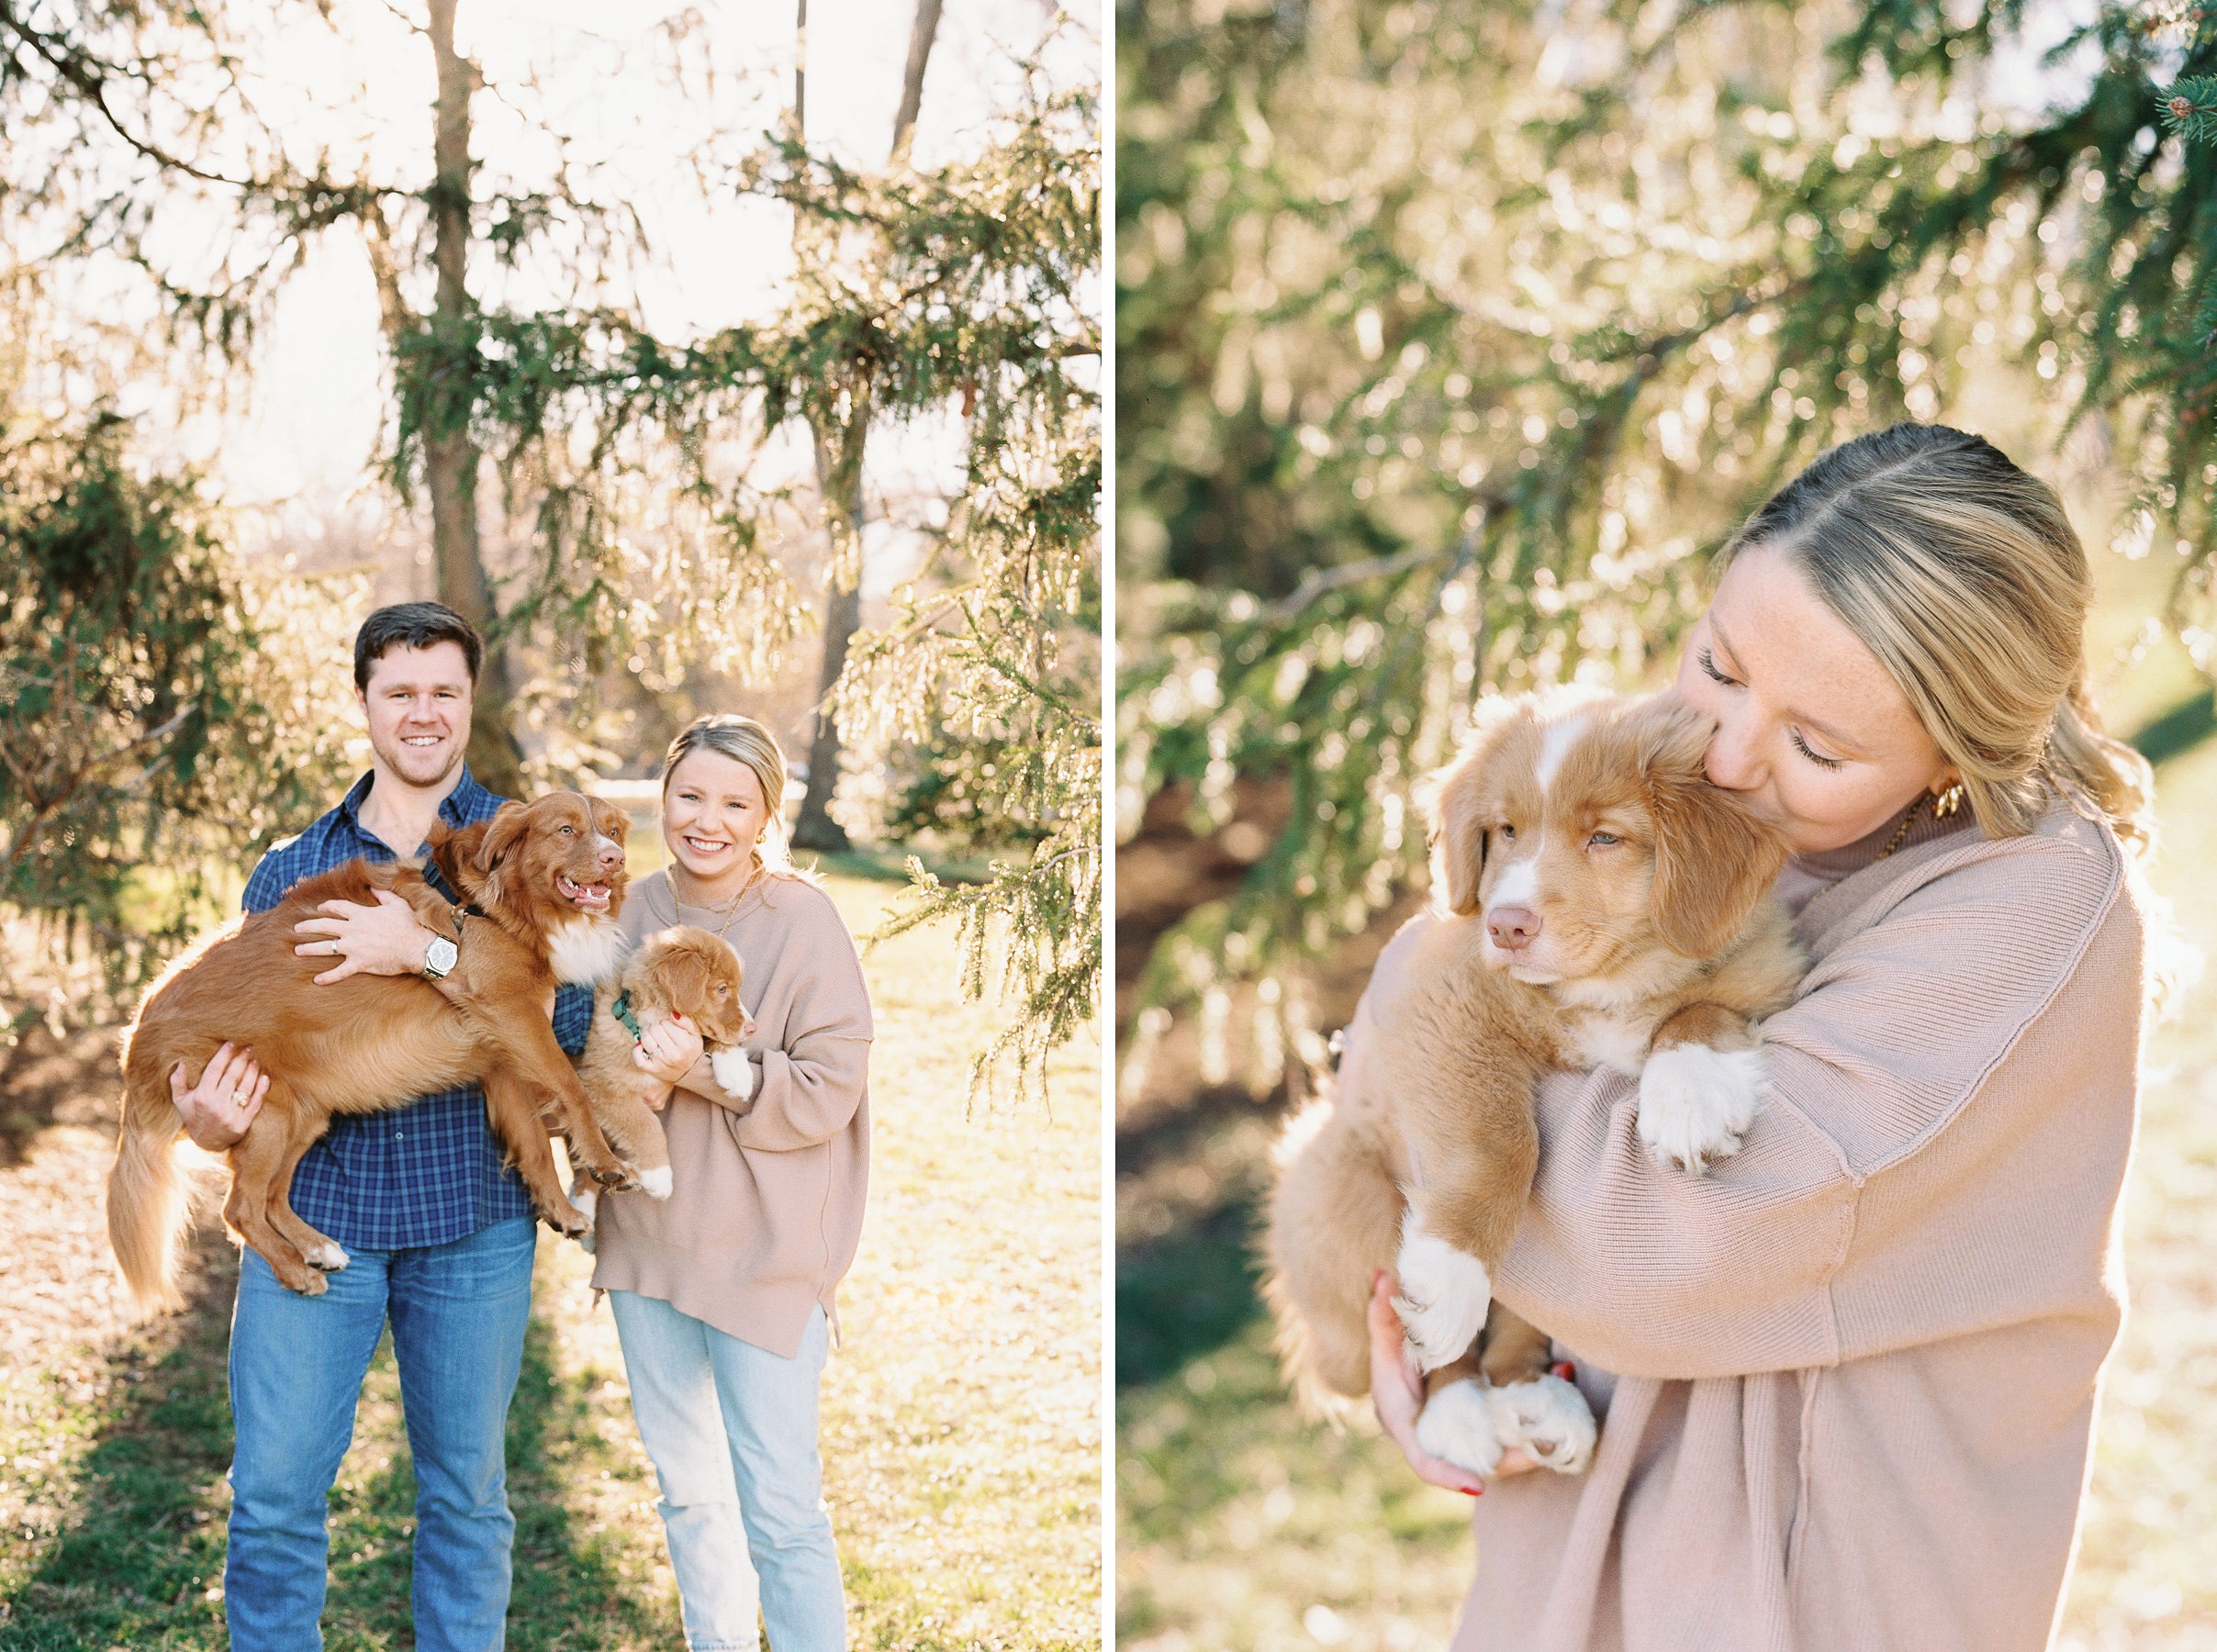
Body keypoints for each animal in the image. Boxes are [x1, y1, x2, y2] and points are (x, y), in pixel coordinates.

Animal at [110, 789, 633, 1312]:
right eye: (565, 830)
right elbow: (571, 1087)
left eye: (613, 831)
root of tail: (136, 1037)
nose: (616, 859)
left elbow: (535, 1145)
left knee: (271, 1199)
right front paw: (605, 1163)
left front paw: (560, 1209)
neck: (493, 904)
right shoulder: (513, 1012)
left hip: (303, 1114)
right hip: (267, 1112)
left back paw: (316, 1247)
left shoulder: (503, 1059)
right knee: (239, 1208)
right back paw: (297, 1271)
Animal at [1277, 686, 1808, 1472]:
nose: (1504, 926)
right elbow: (1500, 1142)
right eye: (1504, 831)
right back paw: (1455, 1408)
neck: (1609, 984)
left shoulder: (1758, 970)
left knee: (1518, 1328)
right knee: (1425, 1340)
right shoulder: (1443, 1005)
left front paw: (1689, 1096)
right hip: (1338, 1185)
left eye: (1605, 839)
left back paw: (1534, 1399)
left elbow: (1699, 1010)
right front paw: (1447, 1273)